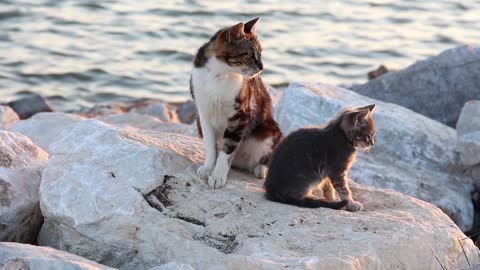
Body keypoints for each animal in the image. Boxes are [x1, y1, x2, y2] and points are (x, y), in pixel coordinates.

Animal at [190, 17, 282, 189]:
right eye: (251, 55)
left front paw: (217, 176)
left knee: (269, 154)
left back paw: (260, 168)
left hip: (270, 132)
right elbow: (211, 146)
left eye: (261, 53)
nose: (262, 67)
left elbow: (226, 151)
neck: (220, 74)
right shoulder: (204, 114)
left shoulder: (240, 115)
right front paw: (208, 168)